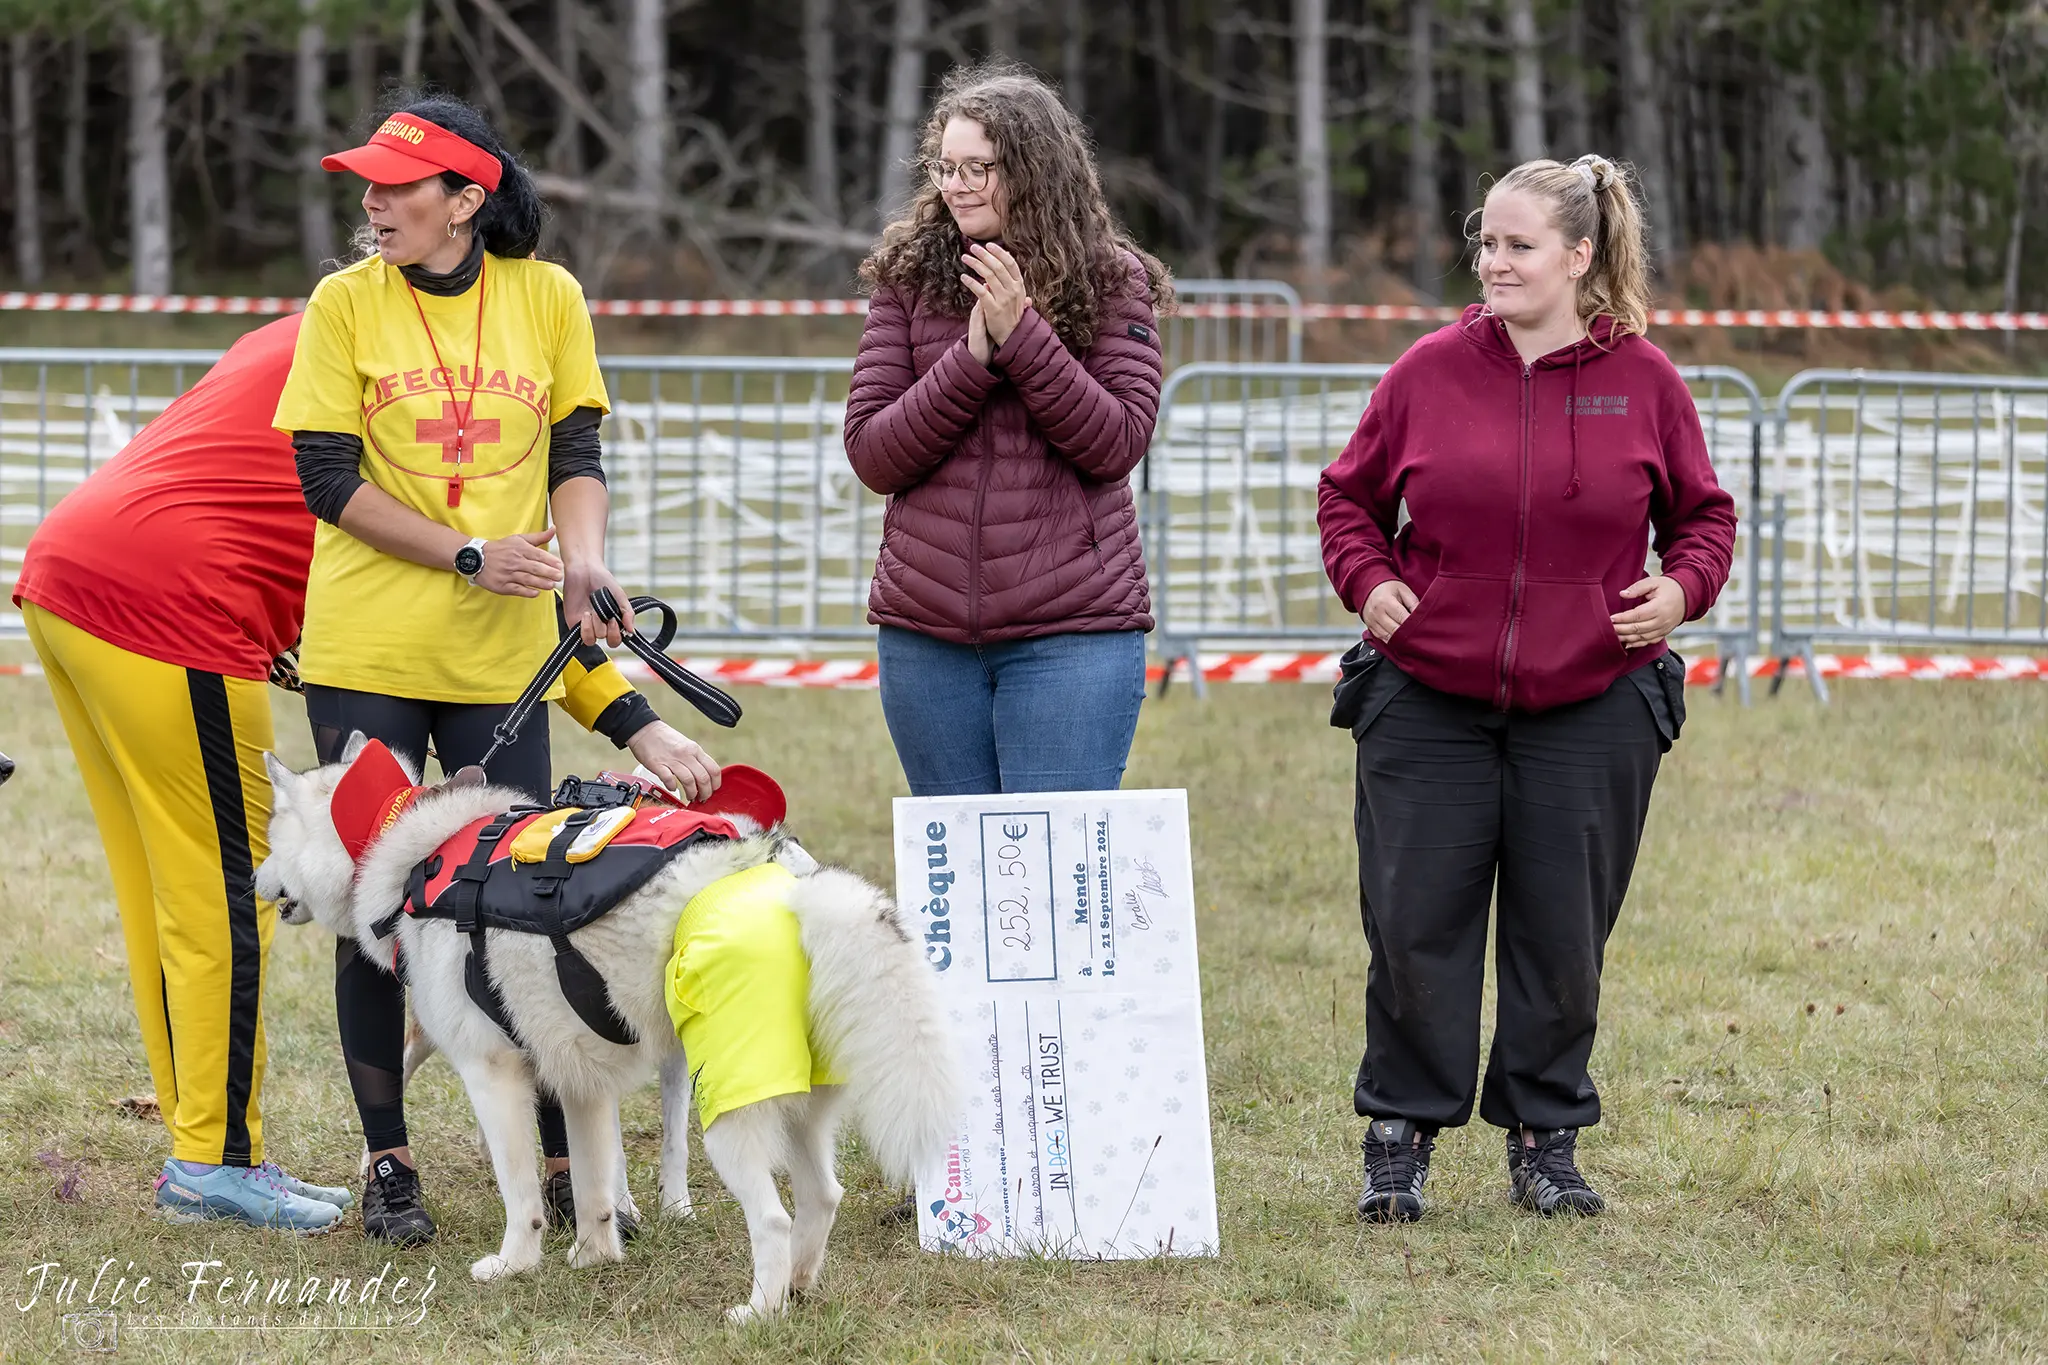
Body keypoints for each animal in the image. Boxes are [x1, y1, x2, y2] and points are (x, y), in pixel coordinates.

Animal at [258, 736, 958, 1326]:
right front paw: (594, 1257)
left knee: (773, 1219)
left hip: (727, 1114)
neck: (417, 853)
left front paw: (513, 1265)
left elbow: (521, 1191)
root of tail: (791, 890)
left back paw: (758, 1314)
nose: (253, 882)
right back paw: (800, 1287)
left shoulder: (493, 1076)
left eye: (271, 833)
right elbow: (594, 1182)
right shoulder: (580, 1084)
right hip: (796, 1110)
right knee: (823, 1197)